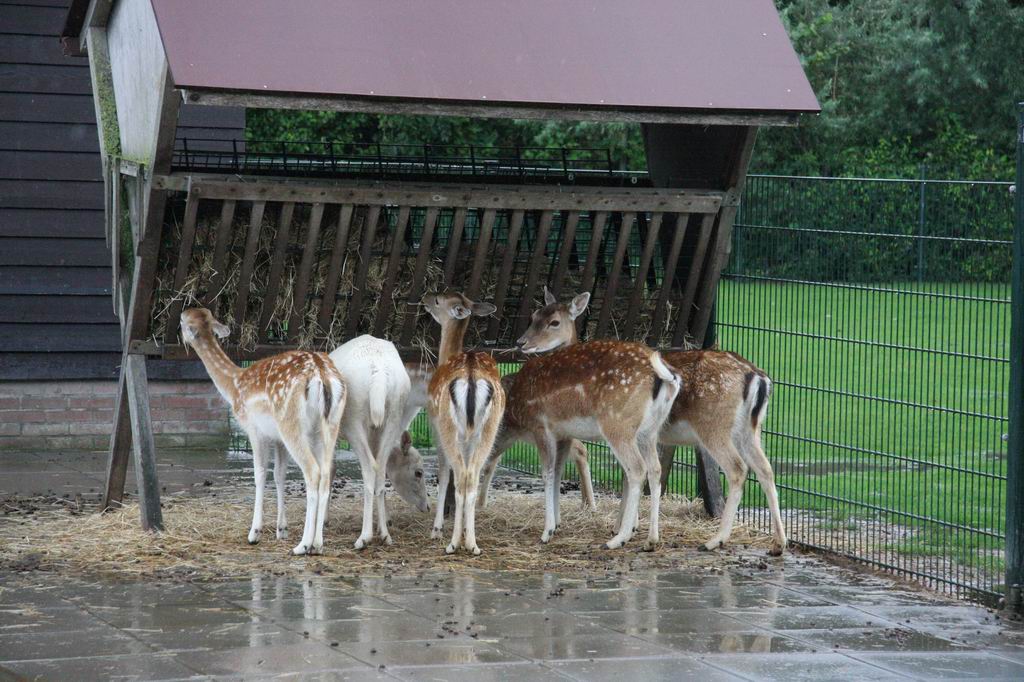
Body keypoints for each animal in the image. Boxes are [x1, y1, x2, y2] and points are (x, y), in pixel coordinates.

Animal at [180, 308, 345, 555]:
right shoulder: (277, 439)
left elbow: (259, 474)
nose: (181, 337)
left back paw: (303, 545)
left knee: (313, 471)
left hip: (291, 424)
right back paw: (317, 544)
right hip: (330, 425)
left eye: (181, 321)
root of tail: (322, 375)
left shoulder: (254, 430)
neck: (234, 385)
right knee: (327, 471)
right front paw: (281, 529)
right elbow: (279, 474)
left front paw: (254, 533)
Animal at [328, 335, 431, 549]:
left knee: (369, 468)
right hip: (392, 415)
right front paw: (387, 520)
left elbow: (331, 468)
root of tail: (379, 374)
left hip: (353, 420)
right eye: (418, 472)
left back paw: (364, 537)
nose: (427, 506)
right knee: (379, 469)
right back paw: (384, 534)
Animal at [420, 291, 506, 555]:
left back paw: (454, 543)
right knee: (473, 477)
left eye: (439, 300)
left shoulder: (436, 430)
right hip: (489, 430)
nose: (425, 298)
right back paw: (473, 543)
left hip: (449, 427)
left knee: (460, 477)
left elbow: (443, 475)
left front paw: (437, 529)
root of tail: (470, 376)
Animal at [480, 291, 682, 550]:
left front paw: (547, 531)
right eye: (533, 316)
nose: (521, 342)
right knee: (655, 469)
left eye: (554, 322)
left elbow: (547, 473)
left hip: (617, 424)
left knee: (637, 469)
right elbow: (558, 471)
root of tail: (666, 377)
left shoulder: (541, 426)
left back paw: (618, 538)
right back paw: (651, 539)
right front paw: (556, 524)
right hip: (650, 430)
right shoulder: (564, 434)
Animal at [504, 288, 787, 556]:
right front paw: (628, 527)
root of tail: (759, 377)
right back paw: (777, 543)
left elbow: (620, 475)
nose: (521, 342)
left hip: (710, 427)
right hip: (749, 429)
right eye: (533, 316)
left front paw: (620, 528)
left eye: (554, 322)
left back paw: (712, 540)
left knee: (735, 469)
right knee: (765, 469)